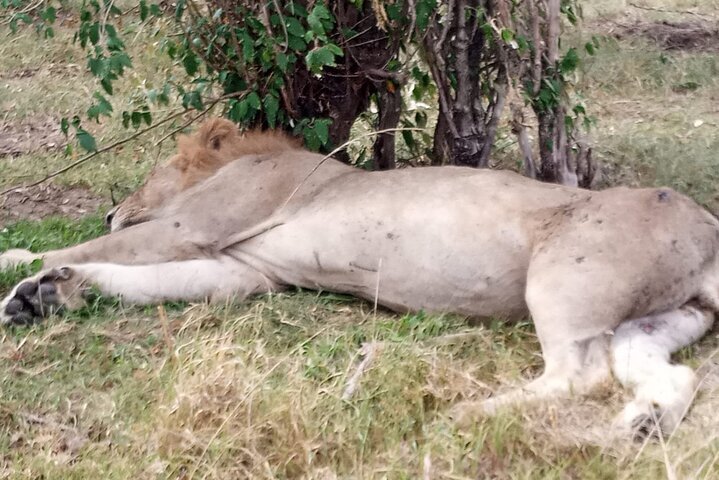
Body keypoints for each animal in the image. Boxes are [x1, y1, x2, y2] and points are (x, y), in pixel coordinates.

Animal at [1, 117, 719, 438]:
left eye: (151, 173)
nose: (109, 205)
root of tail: (708, 230)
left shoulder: (191, 226)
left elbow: (94, 244)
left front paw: (23, 274)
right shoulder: (241, 273)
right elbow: (134, 276)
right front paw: (48, 293)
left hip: (562, 281)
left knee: (579, 374)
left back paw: (463, 415)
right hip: (654, 318)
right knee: (669, 373)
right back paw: (646, 422)